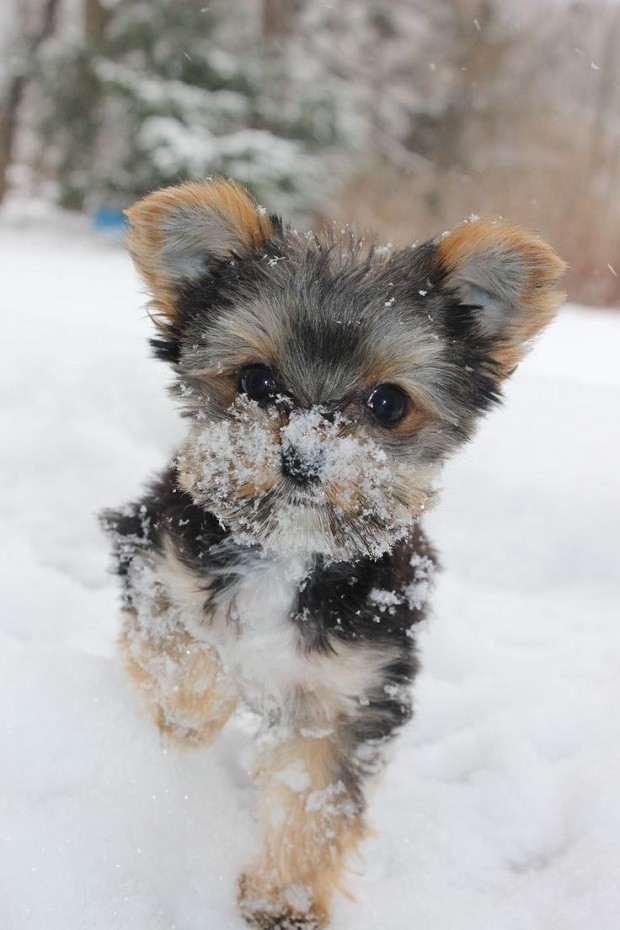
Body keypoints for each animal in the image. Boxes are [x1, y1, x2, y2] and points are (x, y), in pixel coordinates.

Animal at [103, 178, 568, 924]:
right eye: (256, 382)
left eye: (388, 403)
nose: (302, 457)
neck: (290, 551)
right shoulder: (155, 551)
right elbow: (183, 646)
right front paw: (190, 717)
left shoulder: (353, 682)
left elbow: (315, 790)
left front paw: (284, 895)